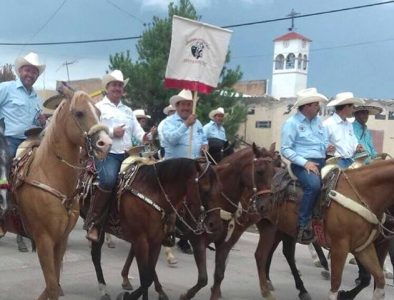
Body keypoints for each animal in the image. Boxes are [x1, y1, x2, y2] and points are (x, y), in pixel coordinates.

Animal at [5, 89, 111, 300]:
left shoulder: (61, 239)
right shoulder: (44, 239)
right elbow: (52, 286)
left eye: (98, 112)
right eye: (79, 113)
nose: (106, 144)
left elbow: (53, 283)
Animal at [254, 158, 392, 298]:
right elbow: (336, 284)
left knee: (279, 252)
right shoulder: (340, 247)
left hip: (282, 229)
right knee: (271, 253)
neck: (361, 195)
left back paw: (280, 284)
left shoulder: (363, 247)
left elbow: (378, 279)